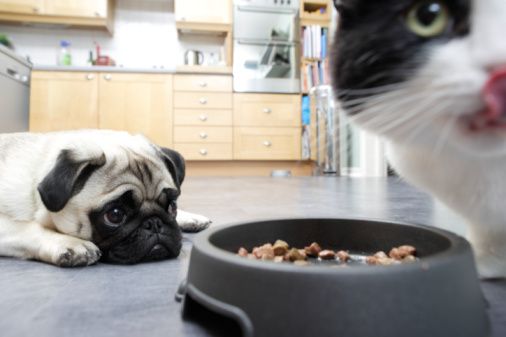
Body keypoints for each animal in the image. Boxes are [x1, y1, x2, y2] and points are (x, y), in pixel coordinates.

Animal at [0, 130, 211, 266]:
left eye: (172, 206)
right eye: (115, 215)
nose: (154, 223)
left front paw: (188, 217)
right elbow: (27, 227)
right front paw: (70, 243)